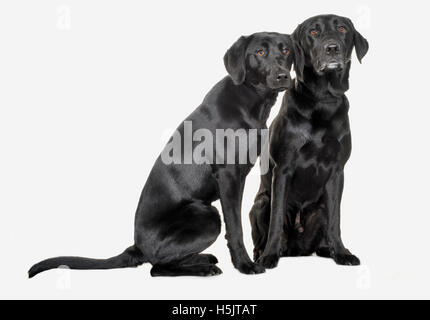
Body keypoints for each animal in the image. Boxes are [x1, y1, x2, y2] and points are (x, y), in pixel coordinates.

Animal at [29, 31, 296, 278]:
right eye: (260, 52)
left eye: (285, 50)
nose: (283, 76)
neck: (251, 101)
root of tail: (137, 247)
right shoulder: (228, 176)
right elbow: (236, 227)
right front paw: (244, 265)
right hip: (207, 214)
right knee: (157, 268)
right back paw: (203, 269)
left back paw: (202, 259)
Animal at [250, 15, 368, 270]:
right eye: (313, 32)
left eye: (342, 28)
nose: (332, 48)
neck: (322, 99)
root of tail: (297, 250)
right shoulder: (282, 169)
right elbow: (275, 221)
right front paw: (269, 255)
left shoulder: (337, 171)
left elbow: (336, 219)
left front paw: (341, 252)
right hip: (261, 203)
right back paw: (263, 253)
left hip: (320, 208)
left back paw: (326, 249)